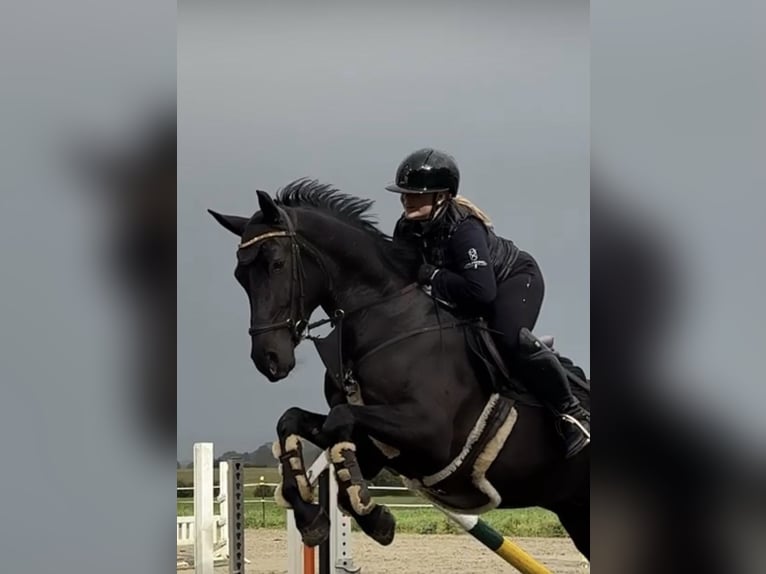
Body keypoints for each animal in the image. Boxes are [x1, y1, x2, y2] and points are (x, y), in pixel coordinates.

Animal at [209, 179, 590, 560]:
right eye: (240, 275)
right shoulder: (377, 447)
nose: (269, 359)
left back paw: (576, 424)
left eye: (276, 264)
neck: (383, 319)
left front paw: (371, 514)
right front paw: (311, 516)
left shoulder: (430, 433)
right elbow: (293, 421)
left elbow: (339, 422)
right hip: (574, 512)